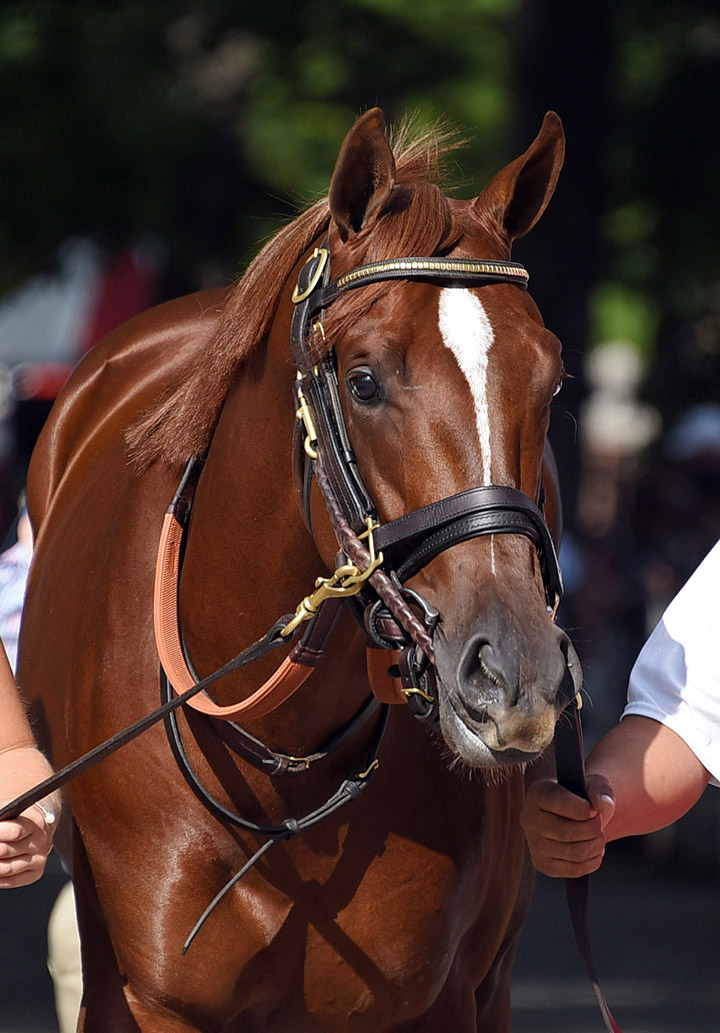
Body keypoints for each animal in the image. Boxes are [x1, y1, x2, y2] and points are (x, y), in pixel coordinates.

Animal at [20, 106, 581, 1032]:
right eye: (364, 381)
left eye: (553, 381)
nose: (516, 672)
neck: (280, 765)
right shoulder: (153, 999)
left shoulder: (442, 996)